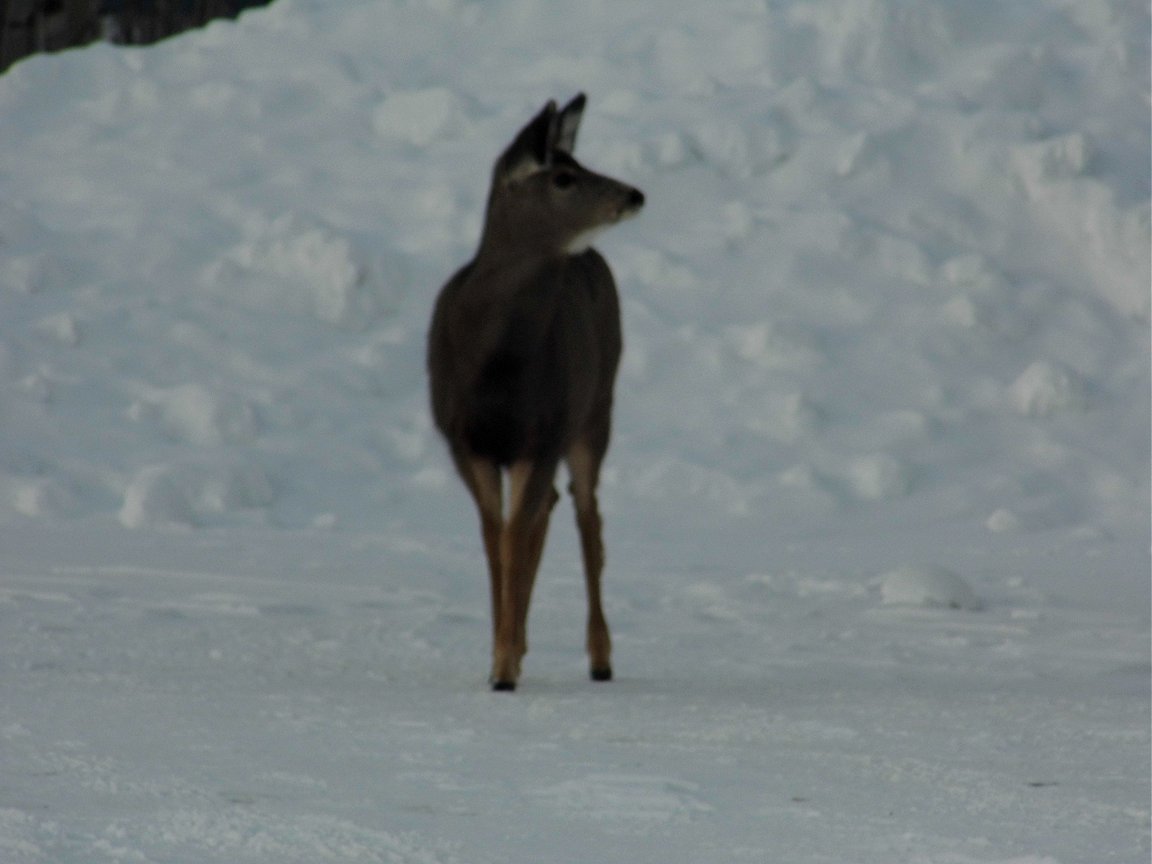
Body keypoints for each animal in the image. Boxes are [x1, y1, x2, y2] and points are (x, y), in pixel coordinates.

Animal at [433, 93, 645, 691]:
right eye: (564, 177)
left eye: (580, 166)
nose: (635, 194)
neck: (497, 367)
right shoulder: (466, 442)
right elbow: (495, 540)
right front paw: (501, 657)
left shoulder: (543, 433)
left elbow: (512, 538)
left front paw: (503, 665)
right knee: (544, 511)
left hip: (595, 410)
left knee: (586, 515)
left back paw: (600, 658)